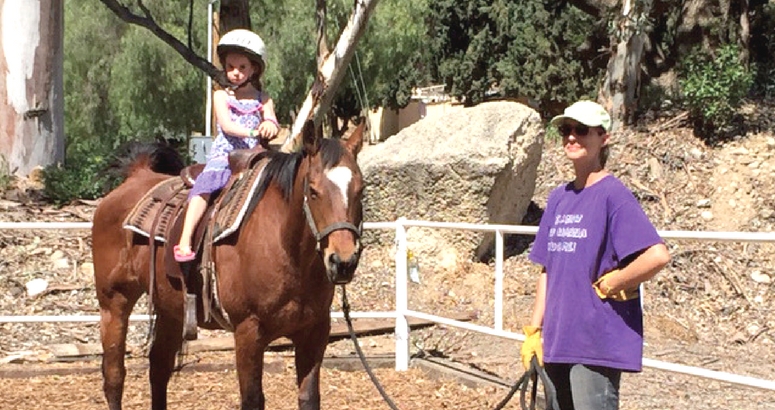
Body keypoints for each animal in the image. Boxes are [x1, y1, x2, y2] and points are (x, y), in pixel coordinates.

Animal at [92, 119, 366, 410]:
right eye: (313, 191)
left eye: (361, 190)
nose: (343, 261)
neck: (287, 251)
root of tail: (137, 176)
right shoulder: (248, 332)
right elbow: (252, 399)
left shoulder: (315, 332)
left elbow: (309, 397)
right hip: (114, 303)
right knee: (114, 375)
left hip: (170, 309)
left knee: (159, 366)